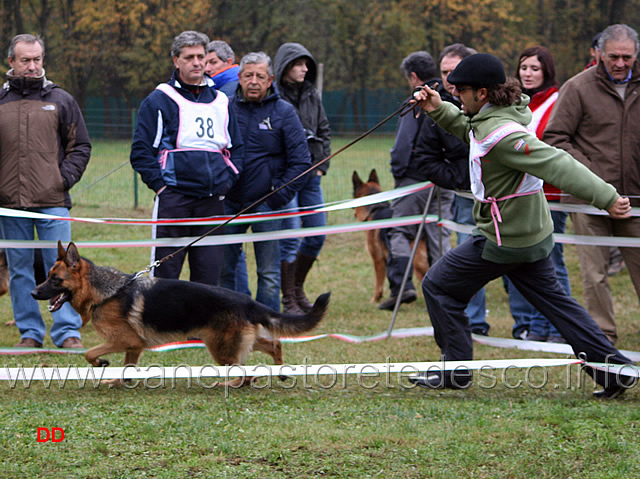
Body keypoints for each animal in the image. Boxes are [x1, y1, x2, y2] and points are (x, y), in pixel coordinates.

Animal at [30, 242, 330, 388]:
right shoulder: (134, 346)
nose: (33, 293)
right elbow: (126, 368)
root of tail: (248, 301)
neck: (106, 292)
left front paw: (102, 364)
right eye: (47, 276)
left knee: (245, 373)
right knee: (274, 344)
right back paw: (280, 372)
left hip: (220, 348)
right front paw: (118, 381)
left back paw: (231, 383)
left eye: (55, 279)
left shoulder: (124, 340)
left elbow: (89, 353)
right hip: (238, 340)